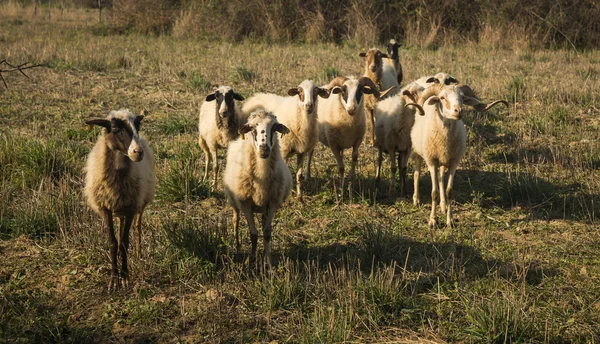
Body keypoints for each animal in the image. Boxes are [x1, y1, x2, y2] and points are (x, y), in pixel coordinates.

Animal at [84, 108, 155, 290]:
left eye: (138, 126)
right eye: (115, 129)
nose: (138, 152)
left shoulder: (131, 207)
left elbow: (124, 242)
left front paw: (125, 277)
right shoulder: (105, 208)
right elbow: (113, 242)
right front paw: (113, 279)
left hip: (140, 201)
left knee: (137, 226)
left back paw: (138, 253)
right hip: (118, 207)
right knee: (120, 223)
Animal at [223, 109, 292, 270]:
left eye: (274, 127)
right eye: (252, 128)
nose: (264, 148)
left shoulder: (273, 203)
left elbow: (266, 233)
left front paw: (269, 263)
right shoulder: (245, 204)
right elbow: (253, 234)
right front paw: (252, 262)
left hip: (264, 208)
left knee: (263, 222)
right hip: (234, 201)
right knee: (235, 220)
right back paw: (237, 246)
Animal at [410, 84, 508, 227]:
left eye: (462, 97)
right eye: (442, 98)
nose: (458, 111)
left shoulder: (454, 162)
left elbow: (449, 191)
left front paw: (450, 220)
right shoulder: (432, 161)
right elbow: (433, 192)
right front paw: (433, 220)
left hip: (443, 161)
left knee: (441, 178)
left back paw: (443, 206)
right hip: (419, 153)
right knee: (417, 174)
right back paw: (416, 200)